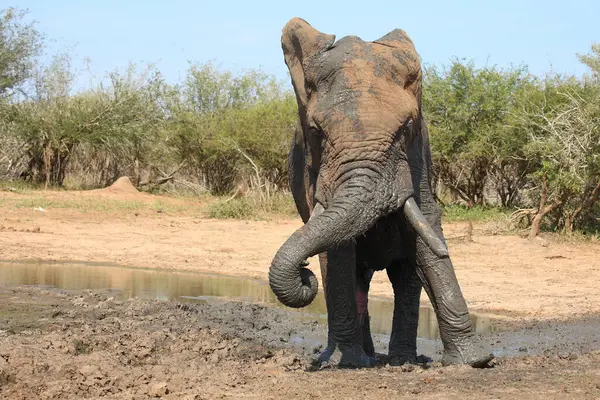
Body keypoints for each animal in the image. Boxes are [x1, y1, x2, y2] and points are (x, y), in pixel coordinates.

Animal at [268, 18, 492, 368]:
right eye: (317, 131)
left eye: (407, 127)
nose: (303, 273)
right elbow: (338, 251)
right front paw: (348, 361)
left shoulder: (418, 155)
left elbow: (427, 225)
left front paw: (475, 361)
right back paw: (362, 357)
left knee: (405, 275)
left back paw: (402, 360)